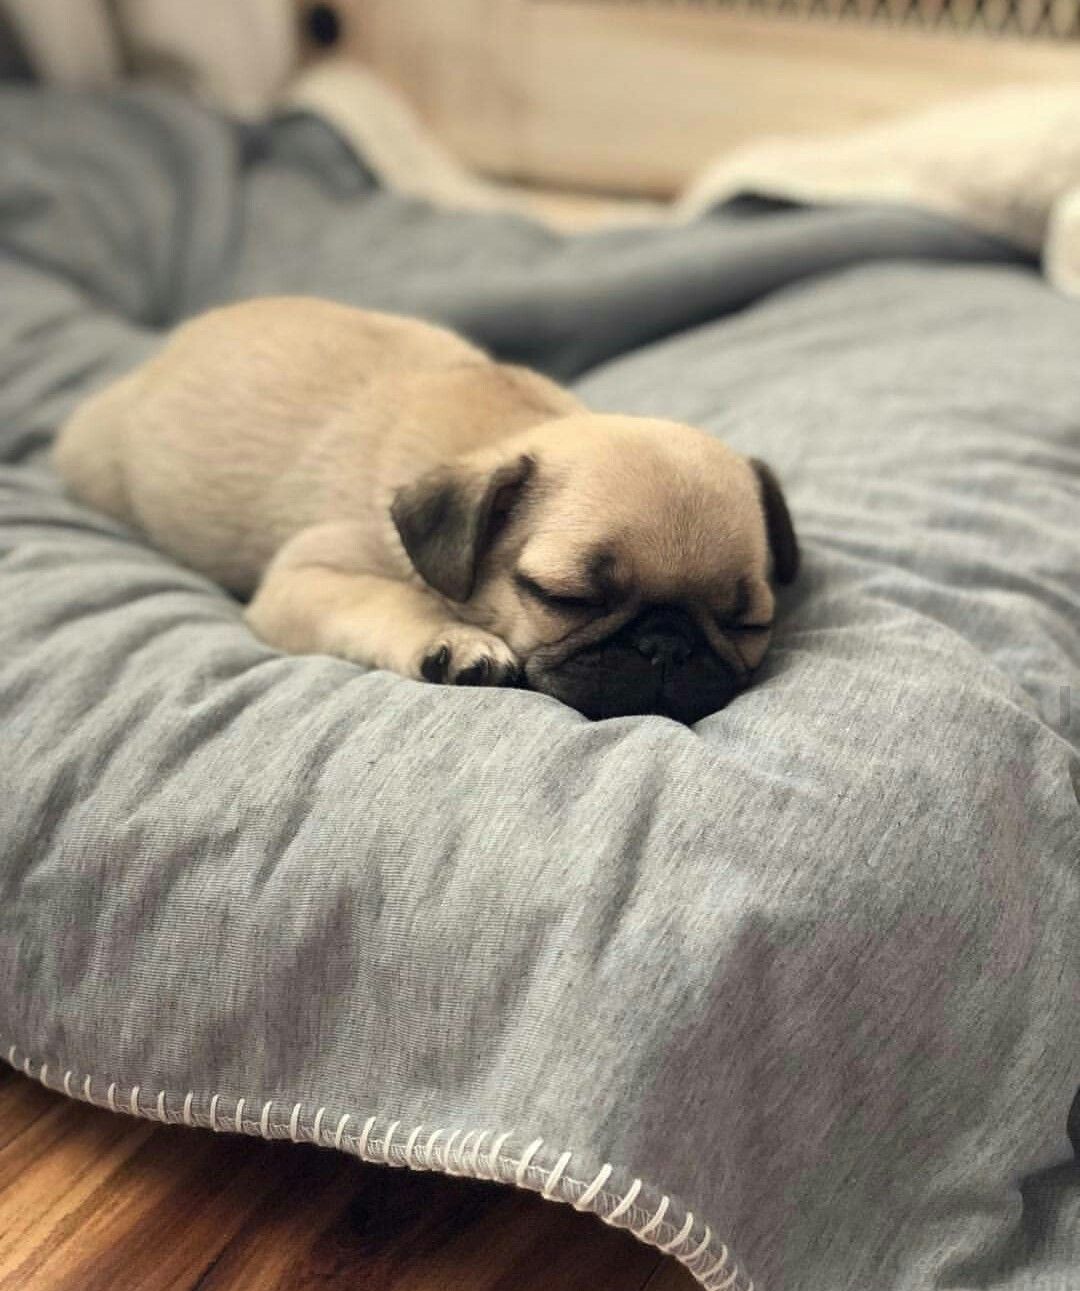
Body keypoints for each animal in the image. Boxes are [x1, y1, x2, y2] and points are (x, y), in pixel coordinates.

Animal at [54, 299, 794, 728]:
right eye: (566, 597)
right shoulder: (307, 575)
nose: (667, 643)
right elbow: (391, 599)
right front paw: (455, 641)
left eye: (748, 621)